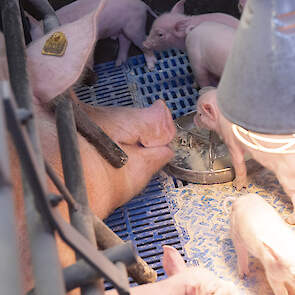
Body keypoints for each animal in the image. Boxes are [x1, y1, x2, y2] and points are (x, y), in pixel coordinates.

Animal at [28, 0, 157, 69]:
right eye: (32, 39)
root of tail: (142, 5)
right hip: (123, 28)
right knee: (125, 41)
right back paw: (118, 64)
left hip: (135, 25)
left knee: (142, 41)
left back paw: (151, 67)